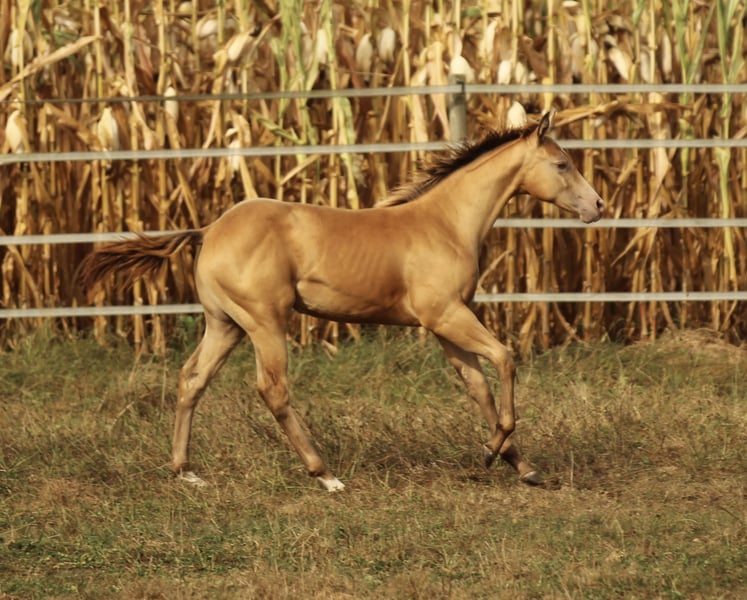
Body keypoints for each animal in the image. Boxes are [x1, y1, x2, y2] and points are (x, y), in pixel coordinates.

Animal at [79, 112, 603, 491]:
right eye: (562, 164)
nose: (597, 206)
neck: (446, 223)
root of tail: (207, 230)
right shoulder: (447, 315)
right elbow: (505, 359)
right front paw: (493, 450)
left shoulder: (443, 326)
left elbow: (478, 387)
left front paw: (518, 464)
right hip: (265, 322)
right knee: (273, 389)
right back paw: (326, 475)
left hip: (224, 323)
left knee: (192, 379)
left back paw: (186, 471)